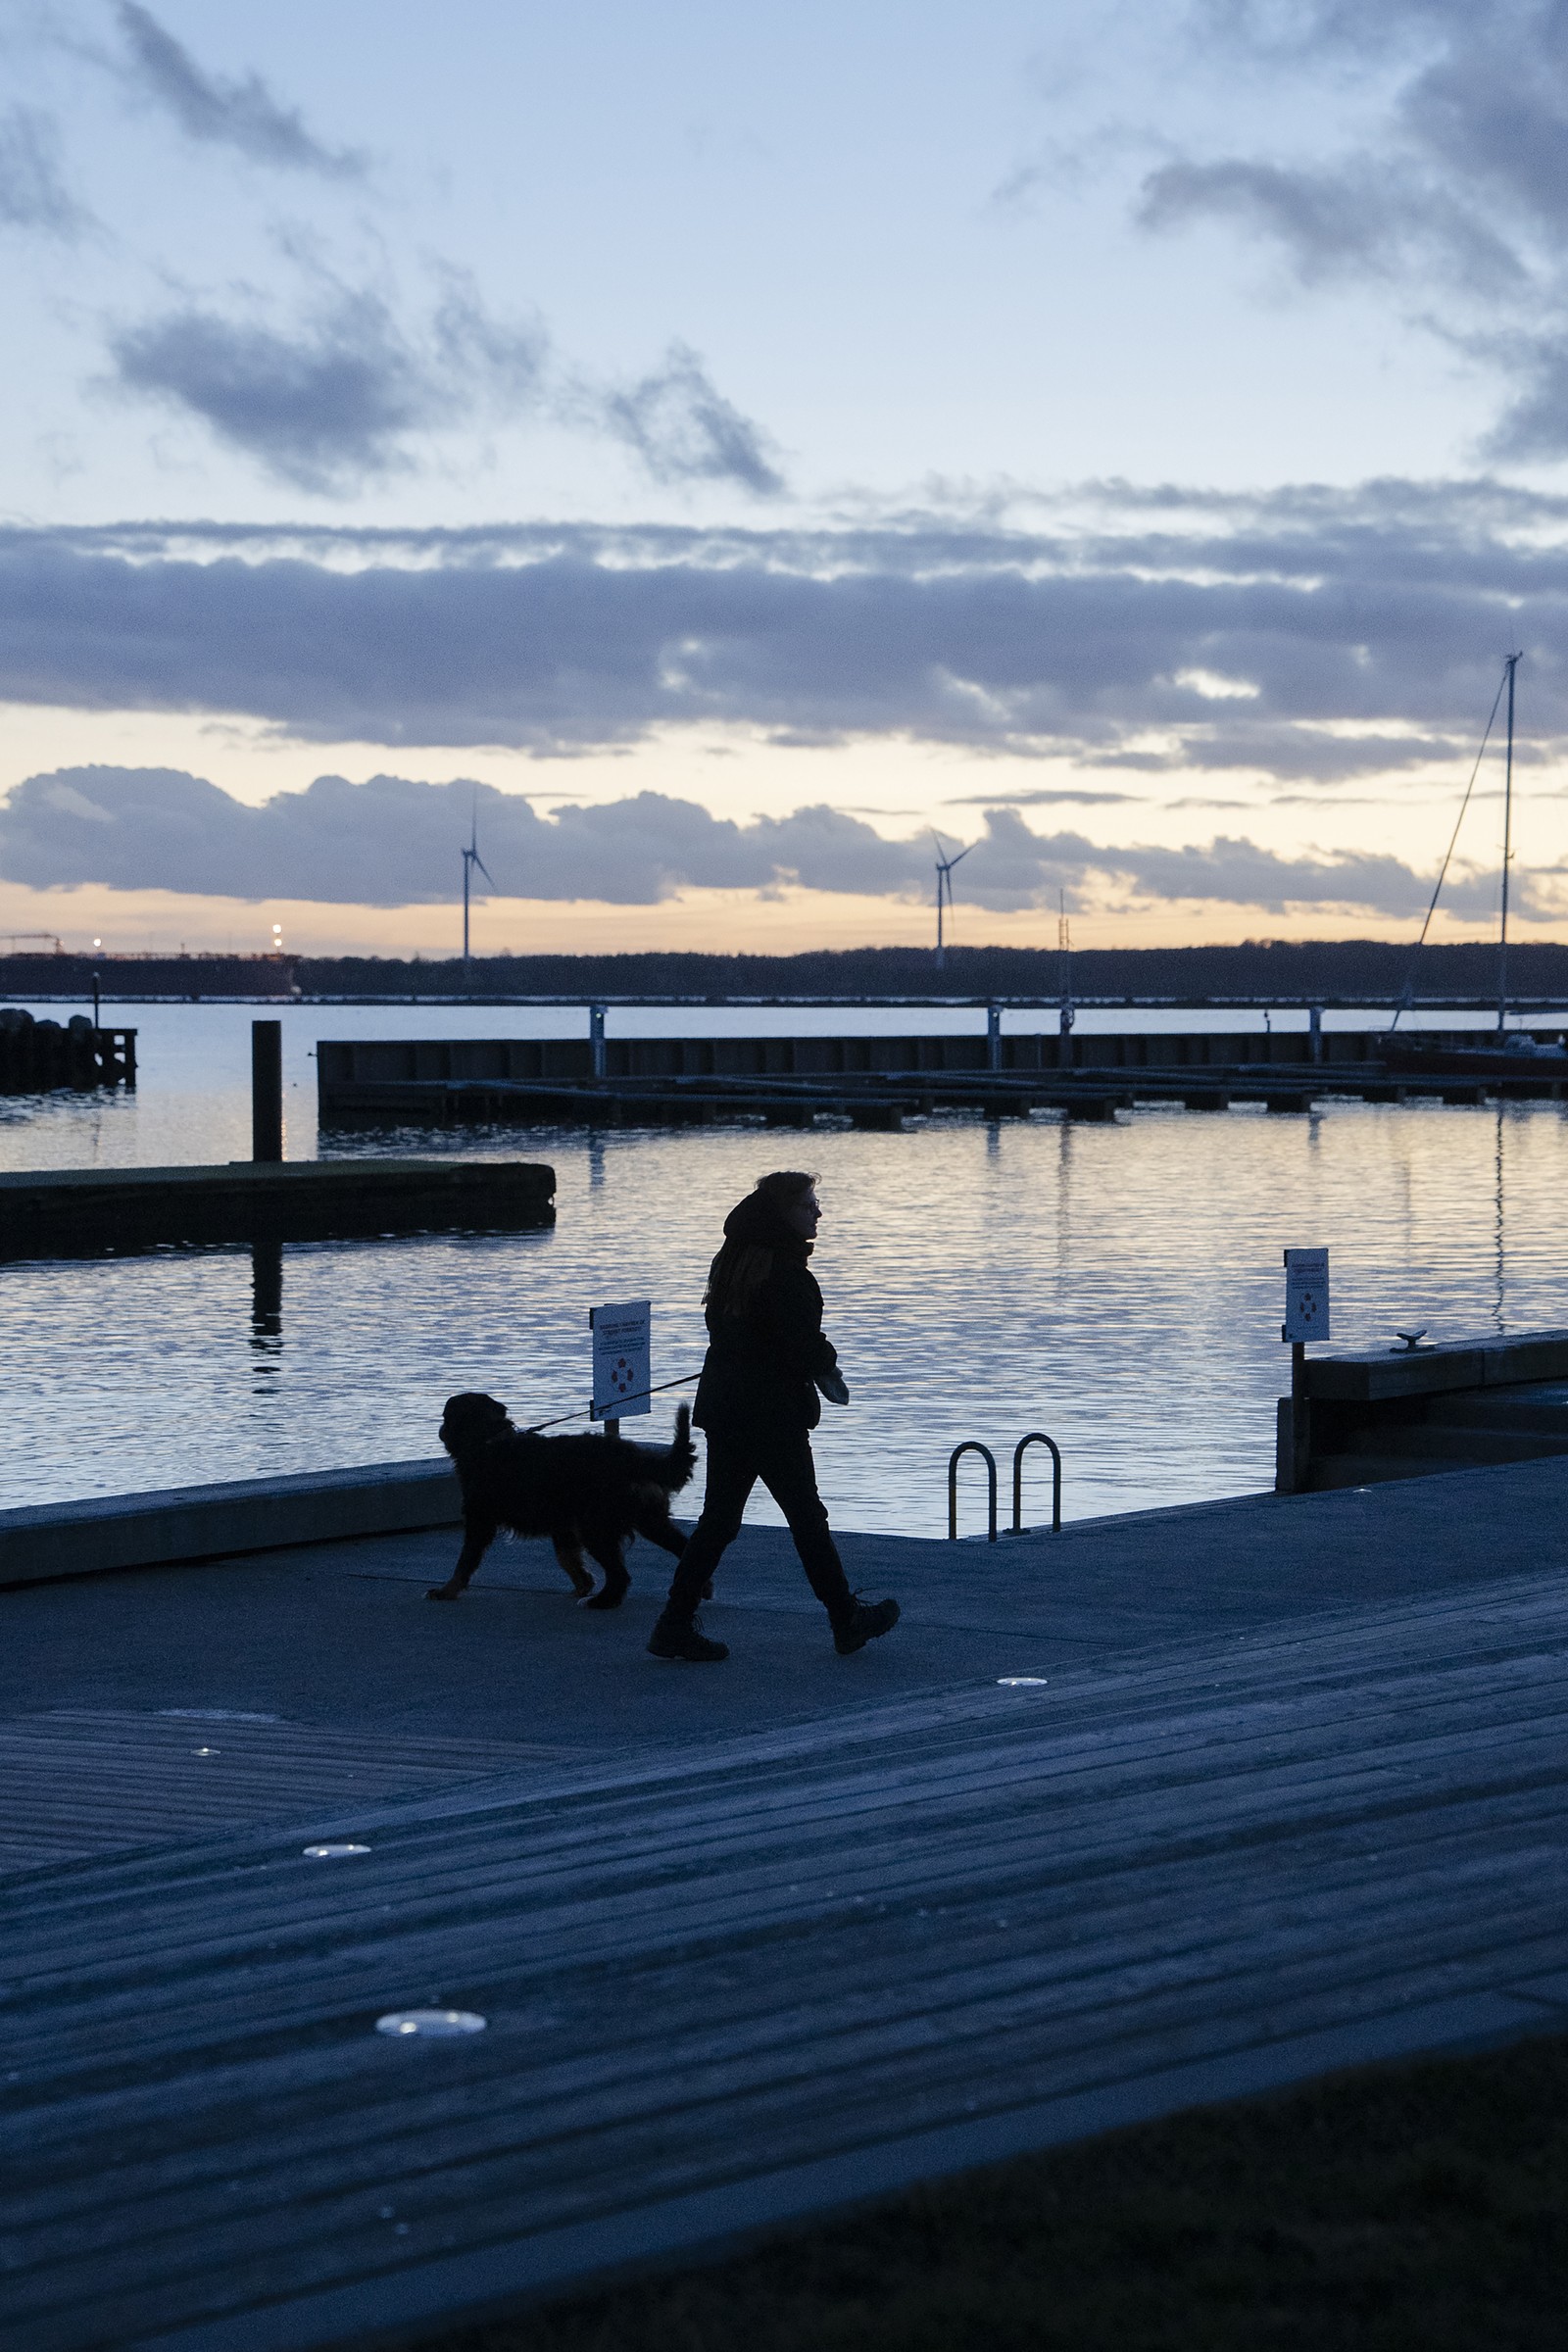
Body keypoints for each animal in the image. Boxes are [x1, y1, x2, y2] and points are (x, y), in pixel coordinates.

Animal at [432, 1383, 696, 1608]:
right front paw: (583, 1585)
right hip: (650, 1520)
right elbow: (568, 1559)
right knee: (683, 1548)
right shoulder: (563, 1525)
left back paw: (603, 1602)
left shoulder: (480, 1519)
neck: (487, 1442)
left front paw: (447, 1590)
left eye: (445, 1416)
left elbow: (465, 1561)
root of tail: (633, 1457)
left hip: (596, 1526)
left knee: (620, 1574)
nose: (440, 1430)